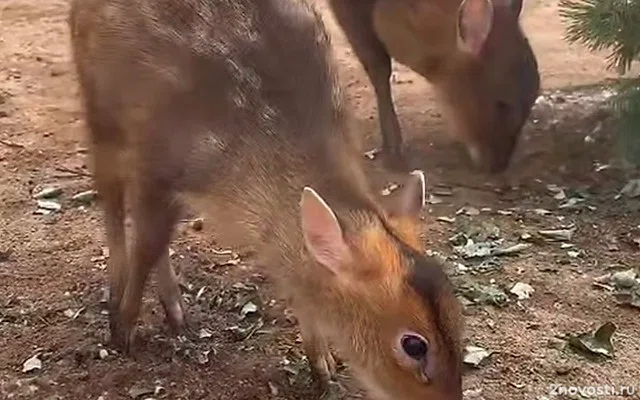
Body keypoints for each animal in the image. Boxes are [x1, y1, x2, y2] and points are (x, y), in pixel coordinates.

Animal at [70, 0, 462, 398]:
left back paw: (174, 310)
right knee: (111, 197)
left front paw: (322, 363)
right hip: (99, 99)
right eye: (414, 344)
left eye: (459, 317)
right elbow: (147, 244)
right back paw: (122, 295)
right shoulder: (159, 159)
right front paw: (122, 328)